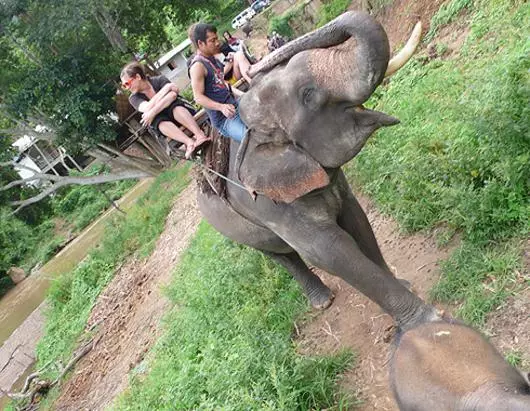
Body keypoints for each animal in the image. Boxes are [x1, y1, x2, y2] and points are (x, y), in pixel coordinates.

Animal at [196, 11, 524, 410]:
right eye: (309, 96)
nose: (250, 54)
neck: (254, 133)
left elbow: (356, 219)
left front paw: (403, 285)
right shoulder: (268, 201)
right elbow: (328, 250)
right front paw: (426, 321)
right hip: (233, 226)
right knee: (279, 255)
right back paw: (322, 302)